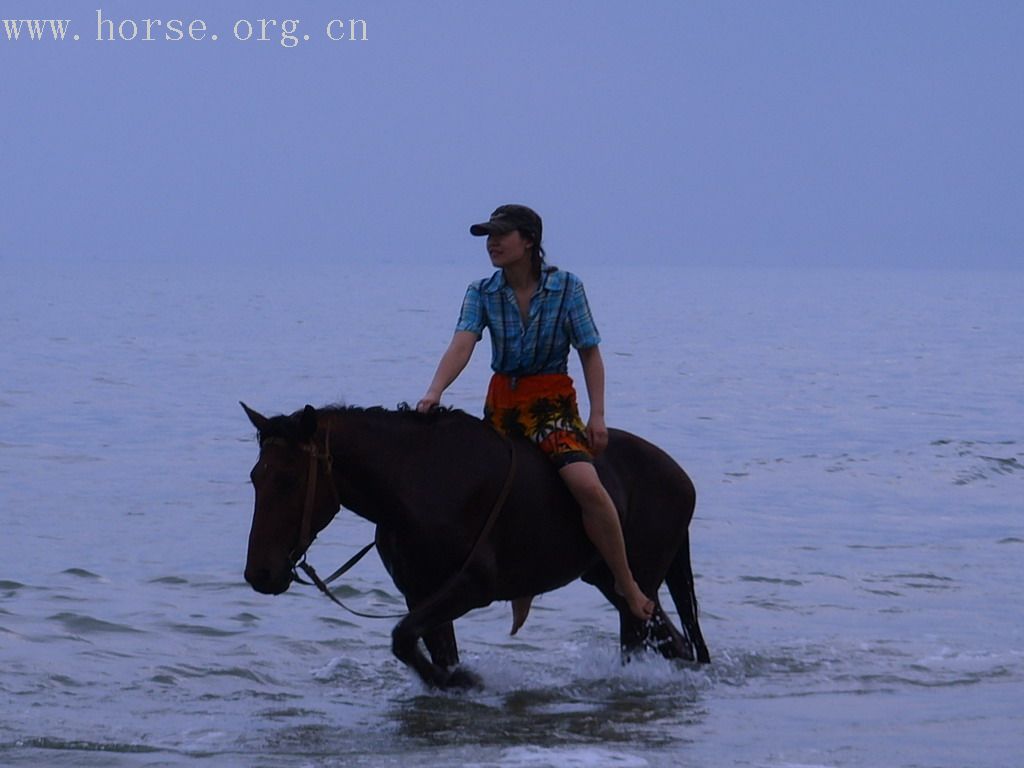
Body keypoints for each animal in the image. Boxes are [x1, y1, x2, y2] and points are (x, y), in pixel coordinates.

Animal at [240, 403, 708, 692]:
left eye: (289, 480)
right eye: (255, 478)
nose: (260, 574)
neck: (412, 484)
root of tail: (683, 478)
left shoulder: (472, 587)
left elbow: (402, 637)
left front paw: (464, 681)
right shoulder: (421, 593)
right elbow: (426, 647)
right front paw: (451, 681)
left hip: (634, 583)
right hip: (612, 581)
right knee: (675, 644)